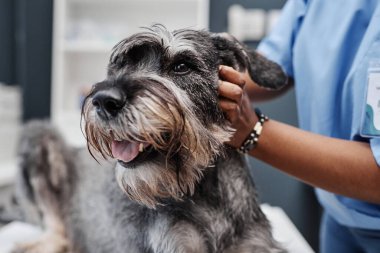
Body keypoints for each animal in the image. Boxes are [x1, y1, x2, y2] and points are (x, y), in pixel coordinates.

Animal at [11, 24, 286, 253]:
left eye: (181, 66)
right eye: (121, 66)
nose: (103, 100)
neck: (203, 192)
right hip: (39, 136)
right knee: (58, 233)